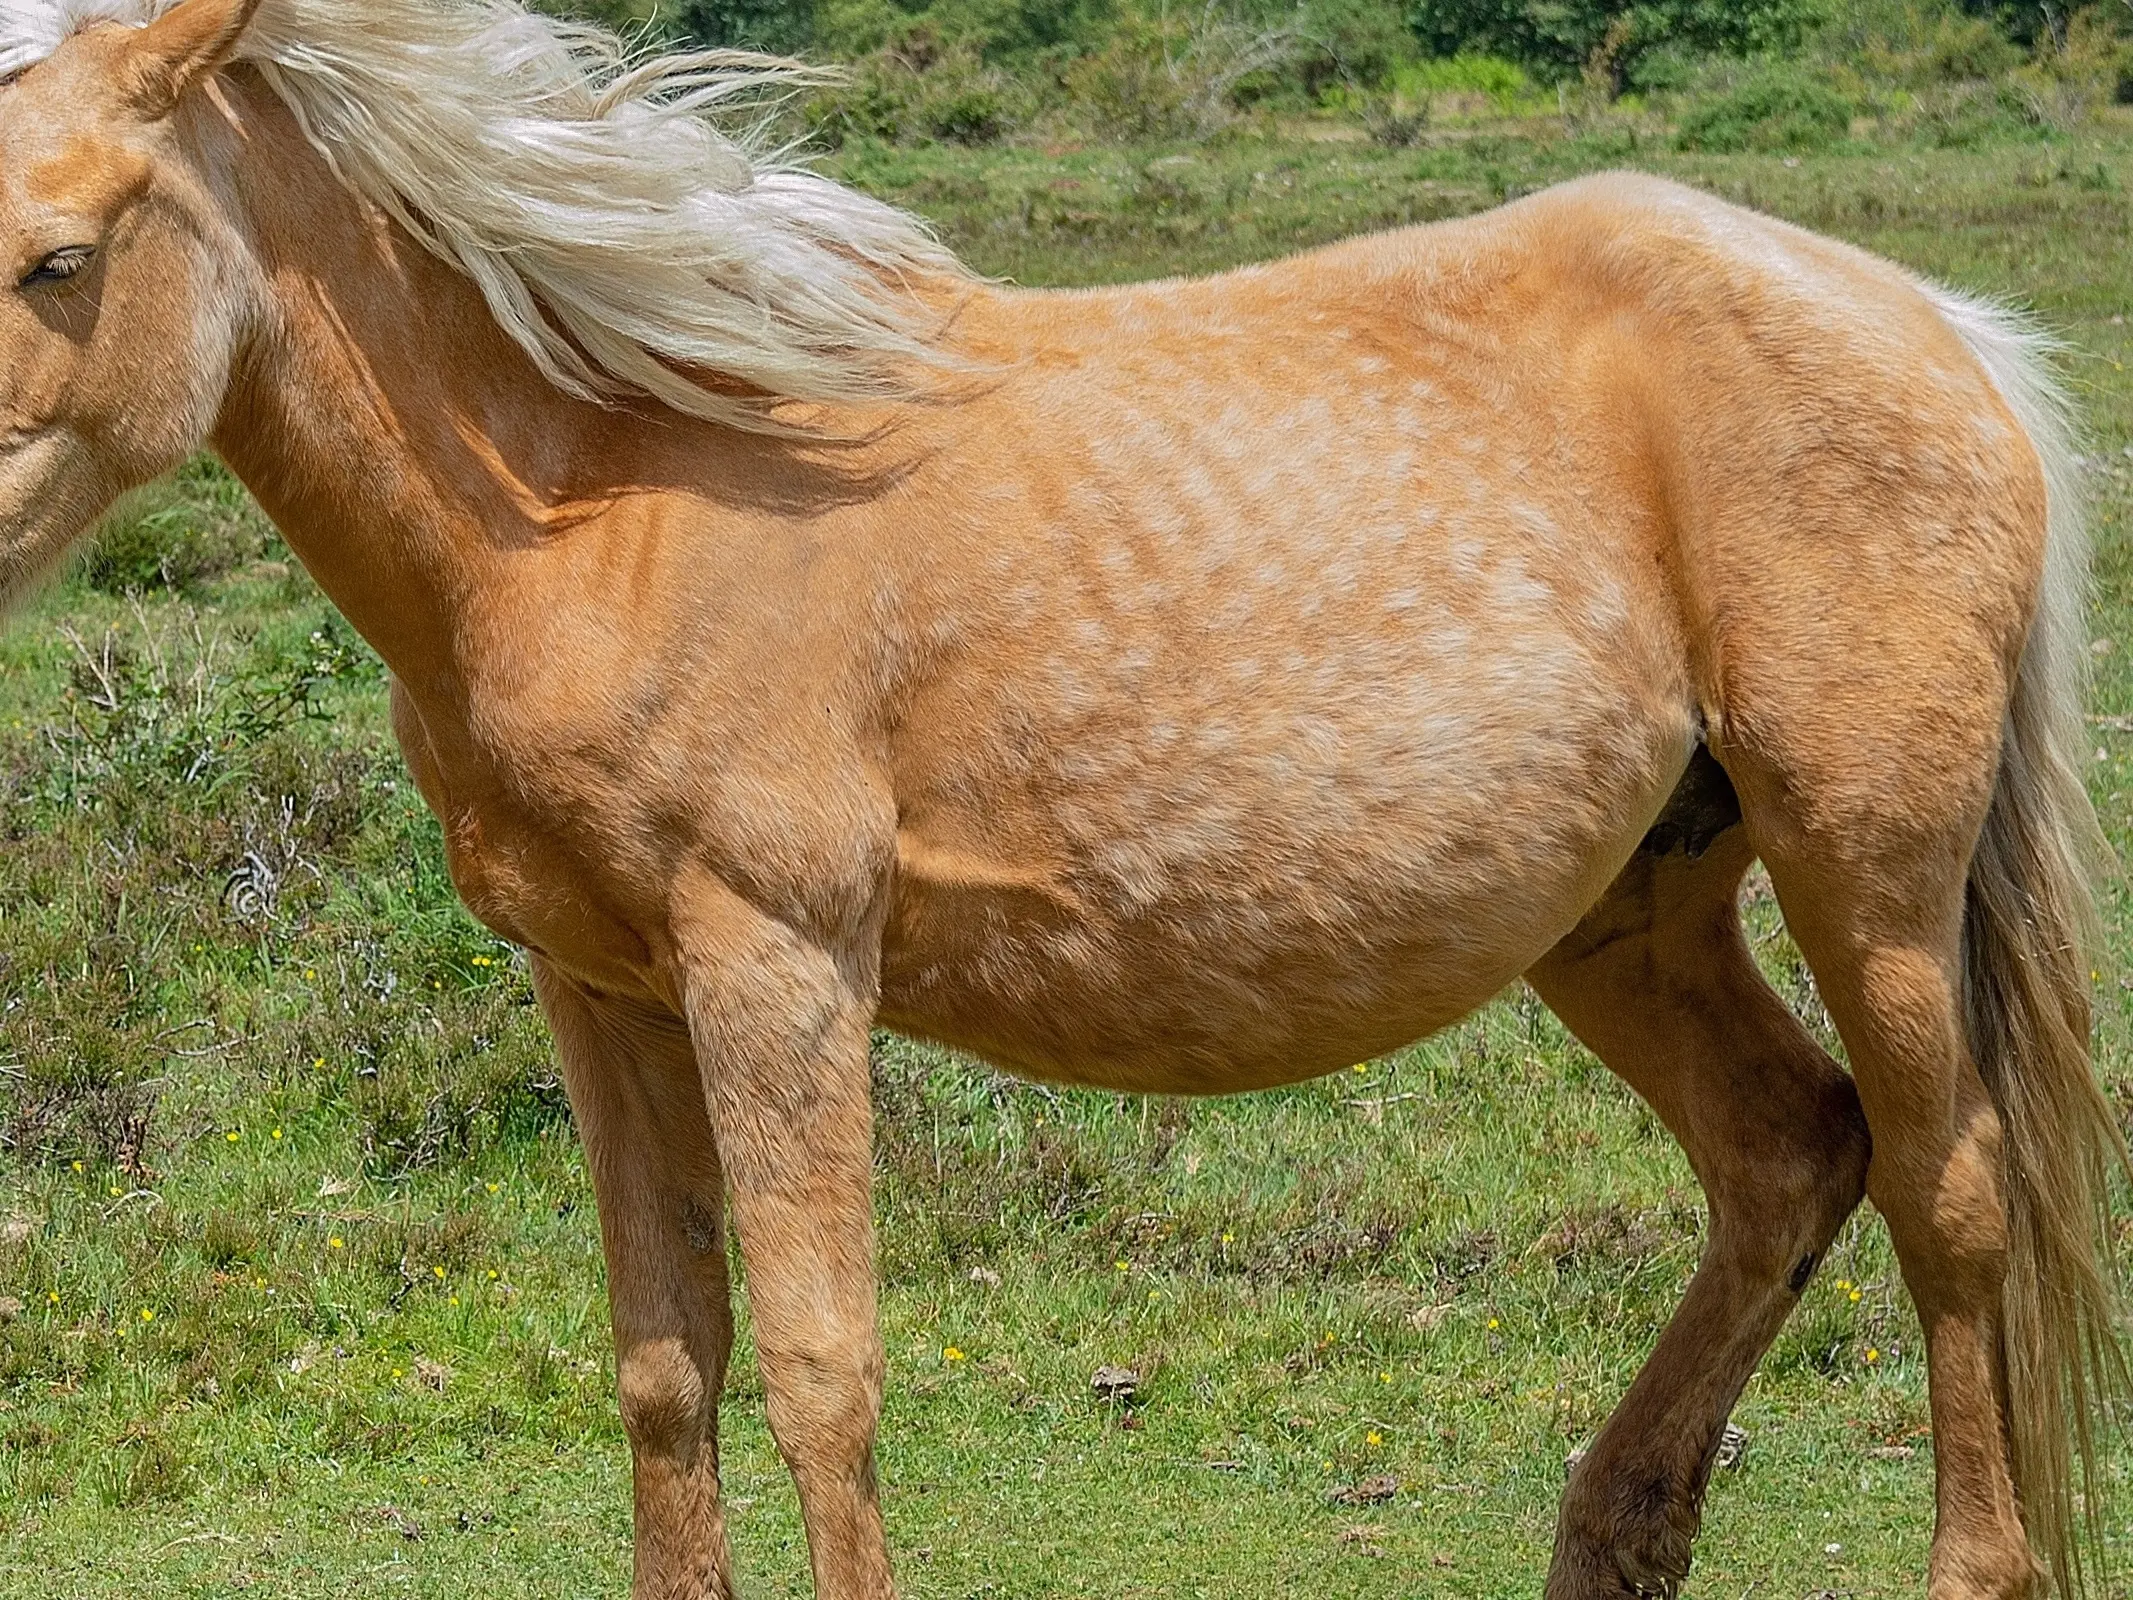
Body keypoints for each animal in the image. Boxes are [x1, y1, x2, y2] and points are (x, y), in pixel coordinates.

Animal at [0, 0, 2124, 1595]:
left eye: (59, 257)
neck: (600, 494)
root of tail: (1937, 326)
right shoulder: (596, 989)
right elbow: (666, 1370)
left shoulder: (775, 966)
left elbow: (822, 1371)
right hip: (1625, 913)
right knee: (1785, 1156)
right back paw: (1610, 1537)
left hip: (1866, 876)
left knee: (1941, 1192)